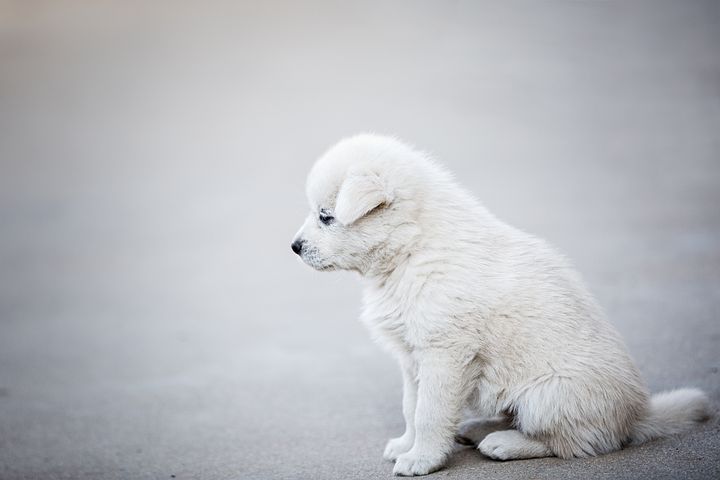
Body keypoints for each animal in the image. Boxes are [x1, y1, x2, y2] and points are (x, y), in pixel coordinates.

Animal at [292, 135, 708, 476]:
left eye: (326, 217)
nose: (294, 247)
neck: (412, 248)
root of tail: (636, 417)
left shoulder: (444, 354)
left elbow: (429, 412)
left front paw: (421, 460)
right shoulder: (412, 357)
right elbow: (411, 406)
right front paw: (405, 445)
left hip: (548, 395)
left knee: (576, 443)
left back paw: (504, 443)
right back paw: (479, 428)